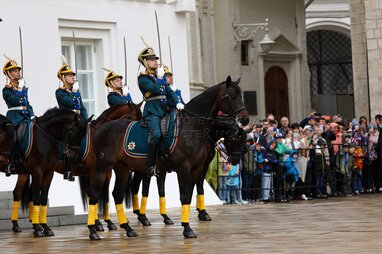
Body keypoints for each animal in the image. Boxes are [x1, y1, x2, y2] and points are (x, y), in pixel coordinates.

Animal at [9, 102, 143, 235]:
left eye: (141, 118)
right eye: (130, 117)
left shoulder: (105, 172)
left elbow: (104, 195)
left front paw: (107, 222)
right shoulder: (93, 172)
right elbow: (93, 194)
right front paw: (96, 224)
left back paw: (35, 223)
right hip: (29, 172)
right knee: (18, 192)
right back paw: (20, 225)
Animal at [85, 75, 249, 240]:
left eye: (241, 95)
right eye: (232, 96)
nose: (245, 119)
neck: (193, 127)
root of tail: (101, 128)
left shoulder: (197, 168)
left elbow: (194, 192)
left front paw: (195, 217)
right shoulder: (184, 169)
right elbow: (184, 196)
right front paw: (188, 228)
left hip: (123, 169)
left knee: (117, 194)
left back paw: (128, 228)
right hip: (103, 169)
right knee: (94, 194)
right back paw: (93, 230)